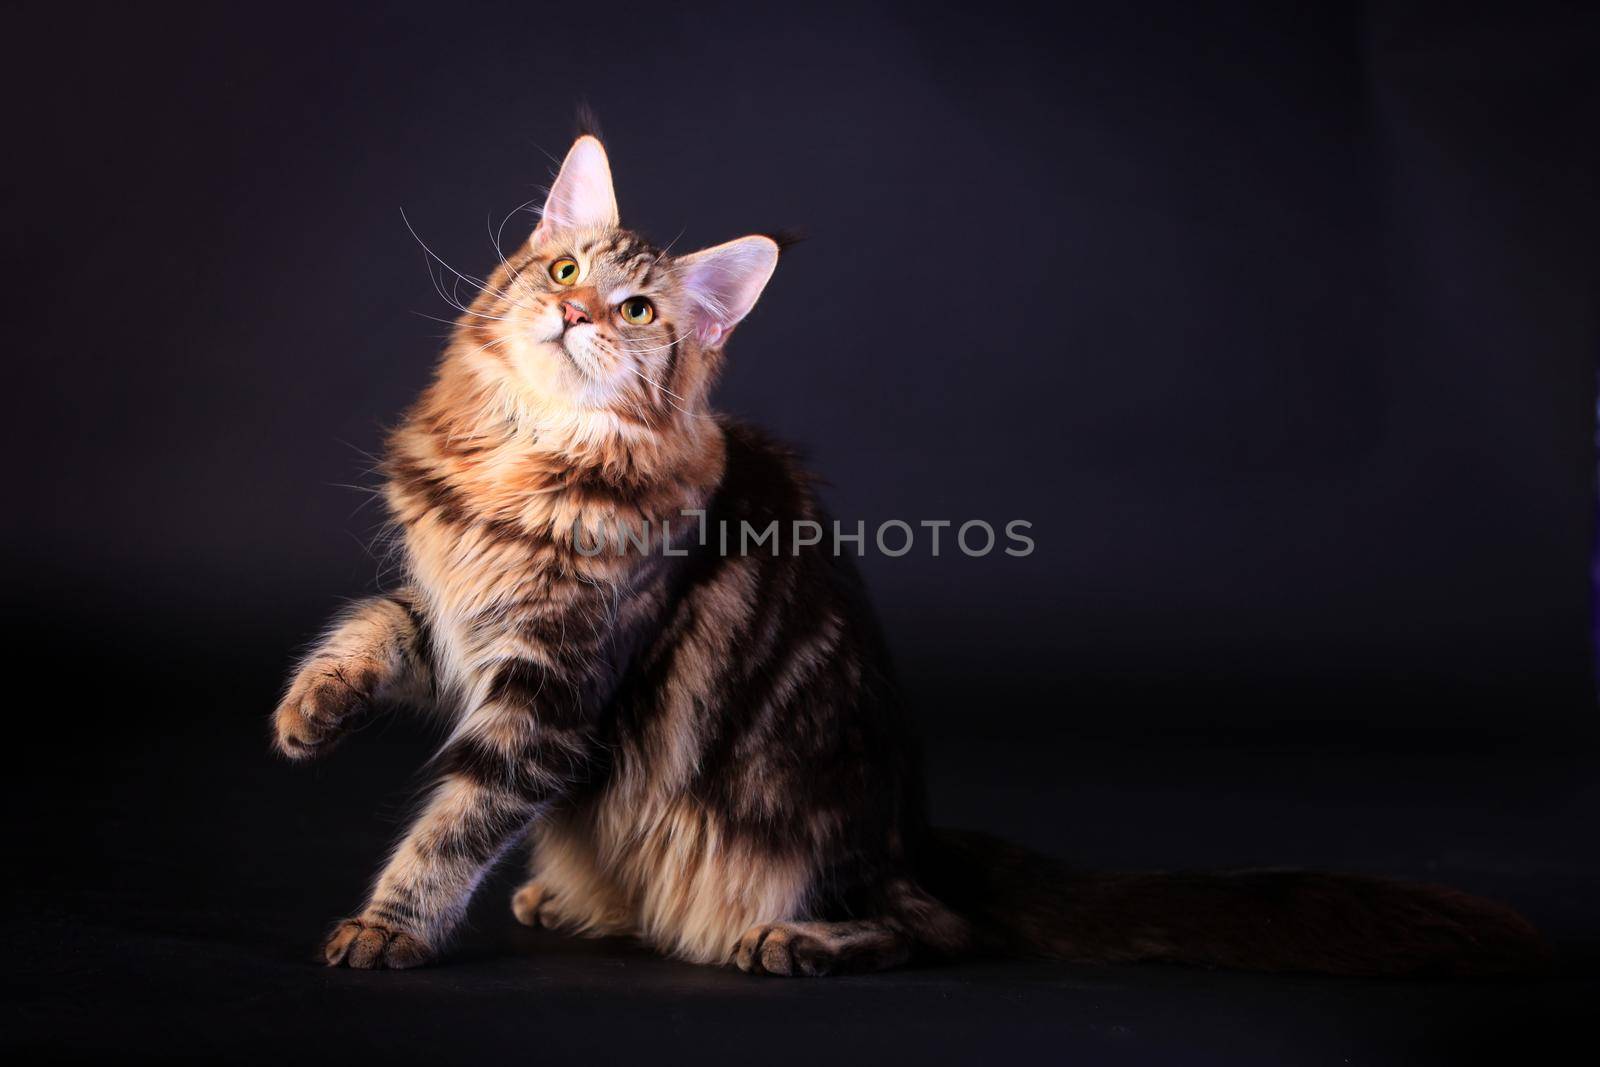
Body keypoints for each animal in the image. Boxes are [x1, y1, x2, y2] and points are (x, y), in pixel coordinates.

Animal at [275, 125, 1548, 979]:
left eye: (637, 312)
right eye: (564, 269)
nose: (577, 313)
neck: (518, 452)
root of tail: (914, 831)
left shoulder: (551, 687)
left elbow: (452, 822)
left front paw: (387, 925)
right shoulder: (459, 617)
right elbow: (375, 624)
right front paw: (310, 711)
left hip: (801, 834)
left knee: (937, 927)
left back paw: (796, 940)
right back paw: (569, 901)